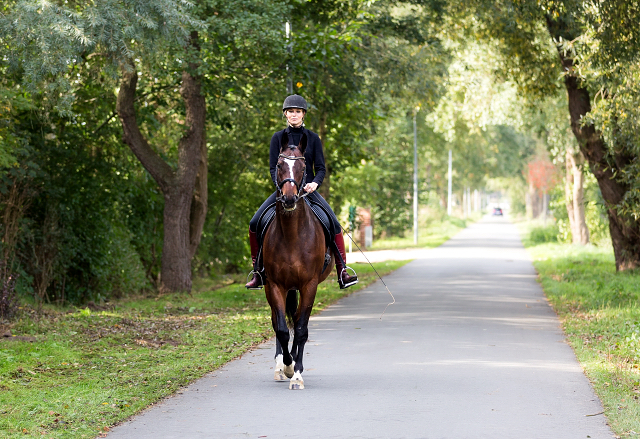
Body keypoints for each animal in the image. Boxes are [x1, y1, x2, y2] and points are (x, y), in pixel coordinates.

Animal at [262, 131, 332, 392]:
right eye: (280, 165)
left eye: (302, 167)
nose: (290, 198)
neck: (292, 235)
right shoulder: (275, 285)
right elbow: (282, 329)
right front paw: (288, 366)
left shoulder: (309, 285)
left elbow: (301, 330)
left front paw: (298, 373)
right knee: (278, 322)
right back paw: (280, 365)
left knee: (299, 321)